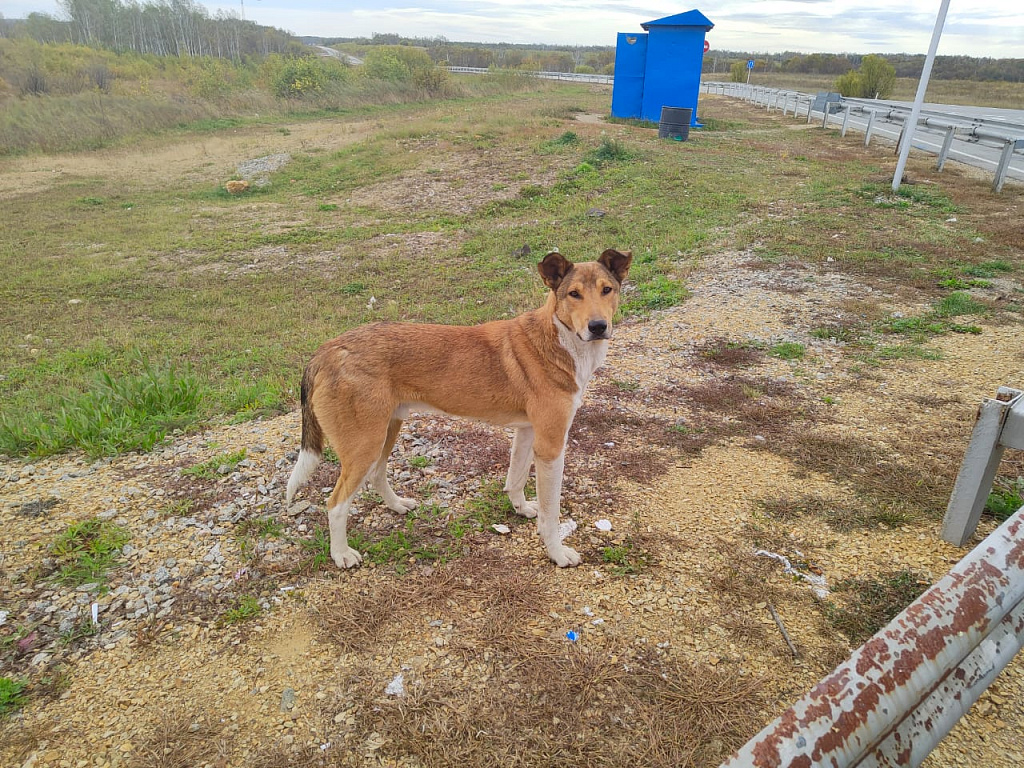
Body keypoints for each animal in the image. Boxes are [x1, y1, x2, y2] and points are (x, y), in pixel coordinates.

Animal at [284, 249, 626, 569]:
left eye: (607, 289)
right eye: (574, 294)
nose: (598, 326)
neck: (562, 338)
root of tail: (325, 351)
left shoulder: (528, 432)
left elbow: (515, 479)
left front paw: (520, 508)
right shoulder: (552, 446)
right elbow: (551, 511)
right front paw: (557, 552)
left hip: (385, 432)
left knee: (377, 476)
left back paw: (397, 506)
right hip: (364, 445)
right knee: (336, 503)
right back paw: (341, 554)